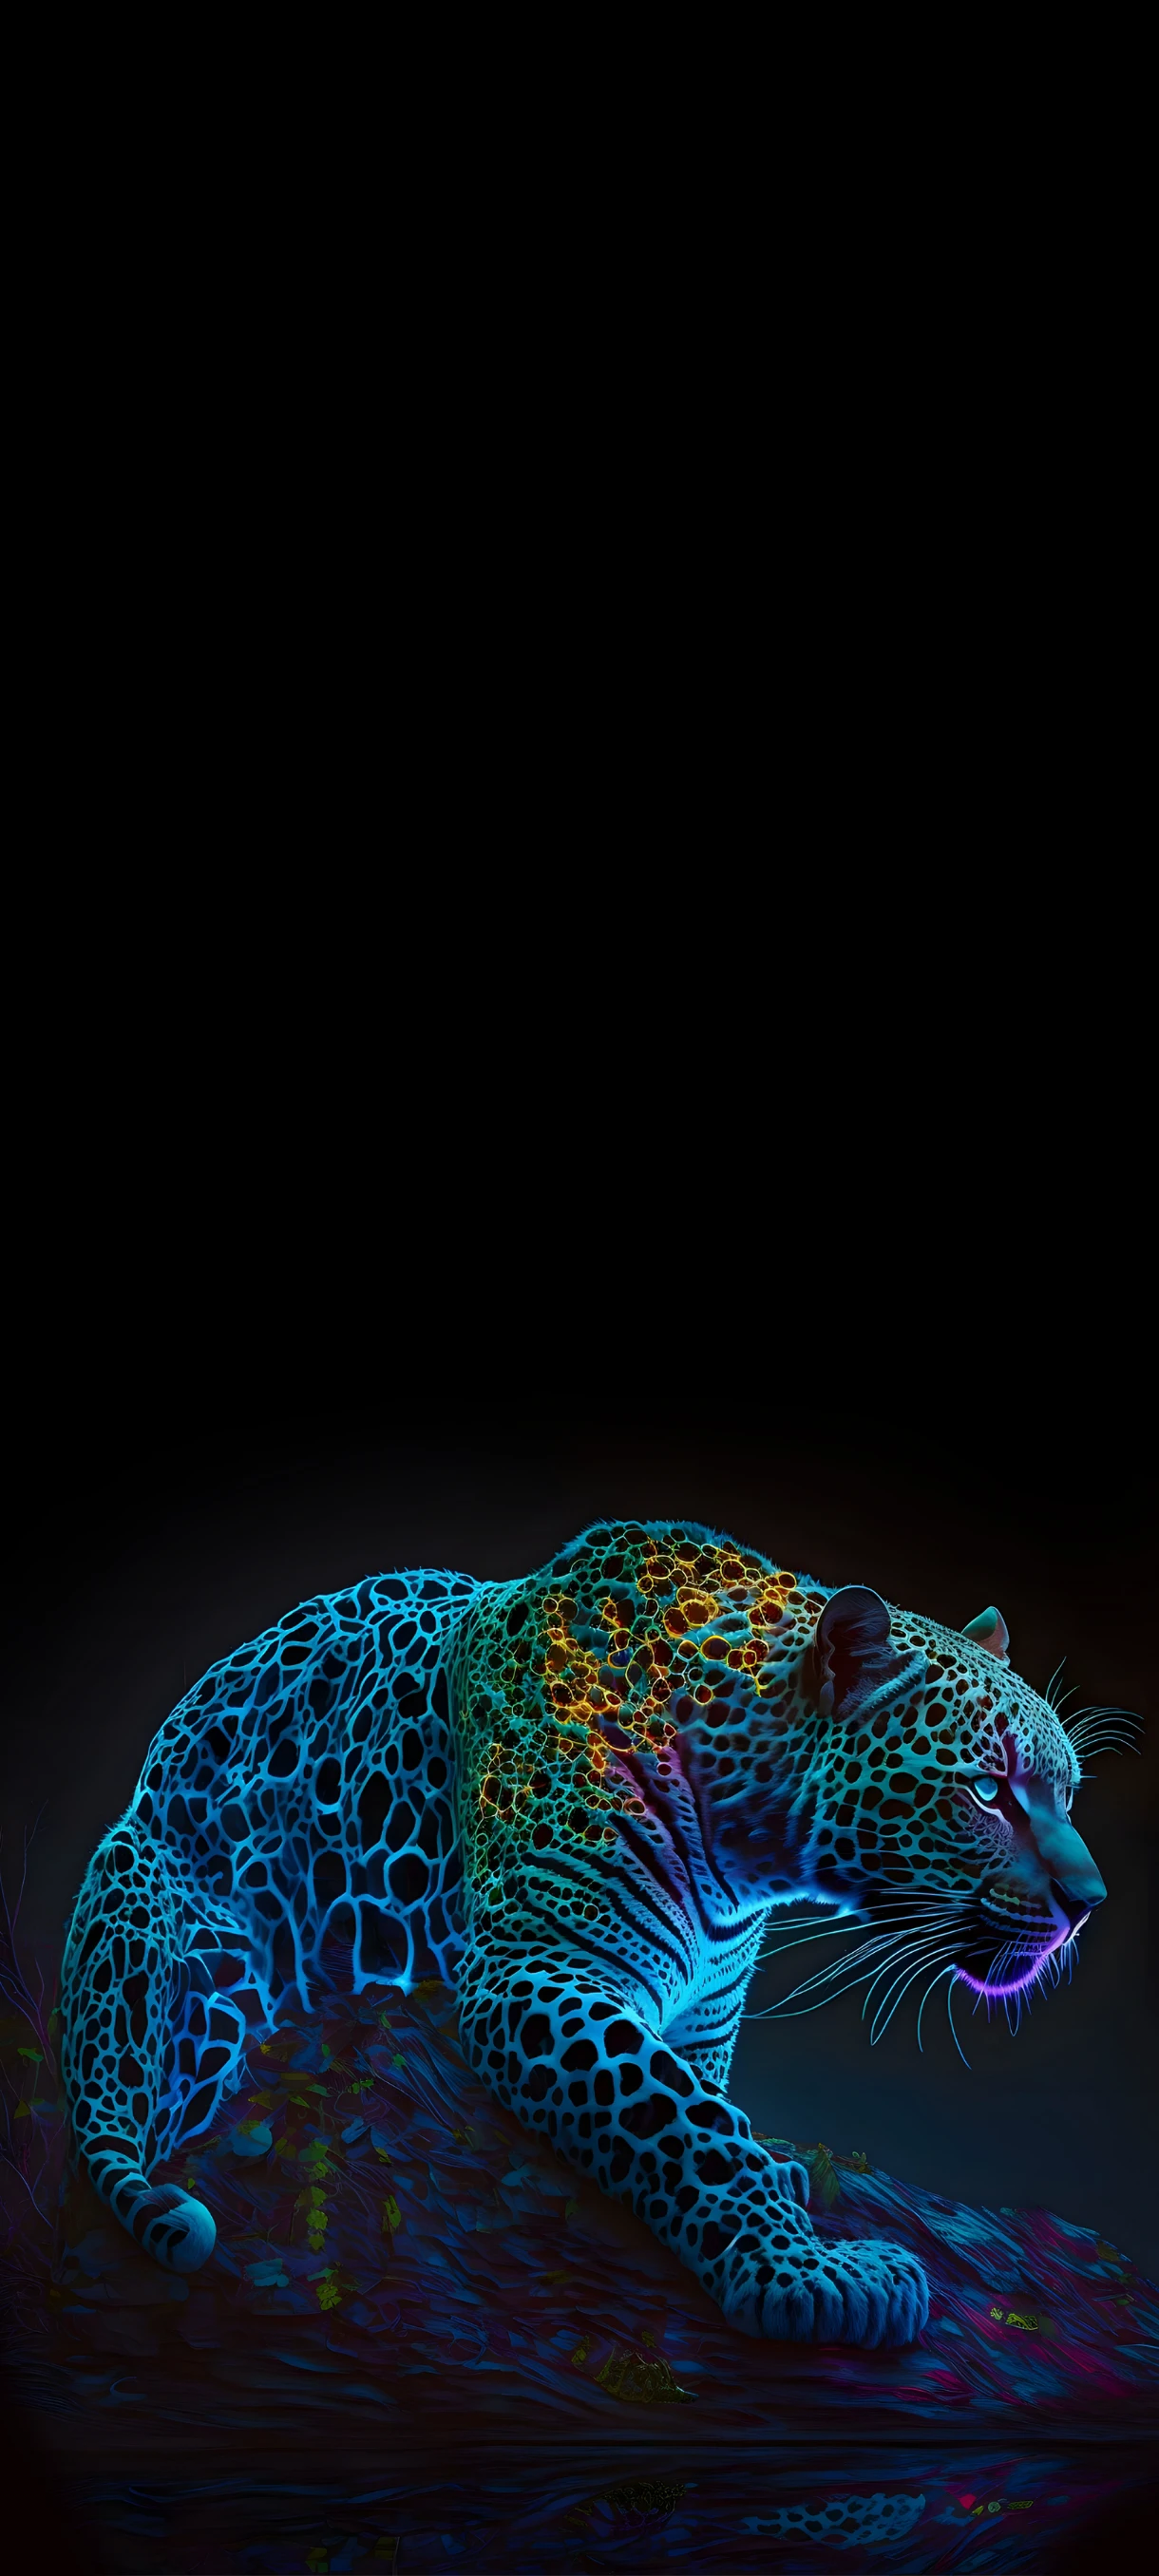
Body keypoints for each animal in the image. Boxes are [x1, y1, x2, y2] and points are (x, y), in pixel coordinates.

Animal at [58, 1520, 1107, 2347]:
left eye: (1063, 1790)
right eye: (986, 1792)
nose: (1089, 1899)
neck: (745, 1846)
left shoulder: (697, 2018)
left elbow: (702, 2103)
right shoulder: (538, 1969)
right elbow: (684, 2126)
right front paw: (810, 2277)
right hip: (158, 1932)